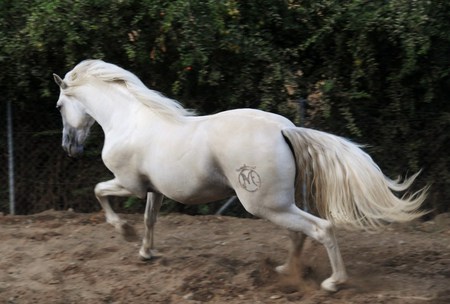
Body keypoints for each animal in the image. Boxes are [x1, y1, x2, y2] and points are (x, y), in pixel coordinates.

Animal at [52, 59, 426, 292]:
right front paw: (146, 252)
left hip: (265, 205)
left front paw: (124, 232)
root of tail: (285, 129)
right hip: (280, 204)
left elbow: (100, 192)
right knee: (299, 234)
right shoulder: (153, 190)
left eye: (58, 106)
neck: (129, 119)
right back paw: (286, 273)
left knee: (321, 229)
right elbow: (150, 219)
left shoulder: (128, 184)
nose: (69, 147)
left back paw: (334, 283)